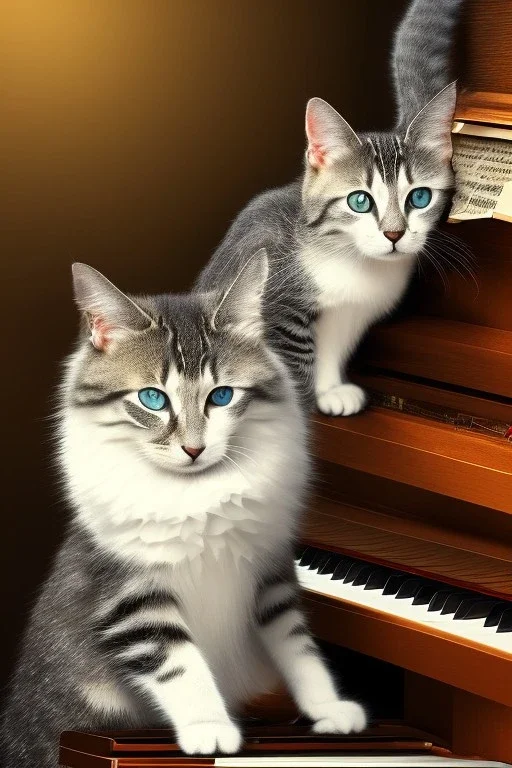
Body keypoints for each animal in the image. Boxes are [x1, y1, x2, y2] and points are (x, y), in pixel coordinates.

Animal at [2, 255, 366, 764]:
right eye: (153, 398)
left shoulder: (270, 571)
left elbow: (297, 644)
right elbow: (180, 663)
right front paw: (209, 728)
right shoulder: (130, 595)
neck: (195, 492)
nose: (194, 449)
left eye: (222, 396)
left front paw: (328, 708)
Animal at [196, 0, 464, 414]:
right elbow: (291, 363)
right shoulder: (277, 307)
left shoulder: (350, 313)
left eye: (419, 197)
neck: (352, 261)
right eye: (359, 200)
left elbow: (331, 348)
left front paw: (331, 390)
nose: (394, 233)